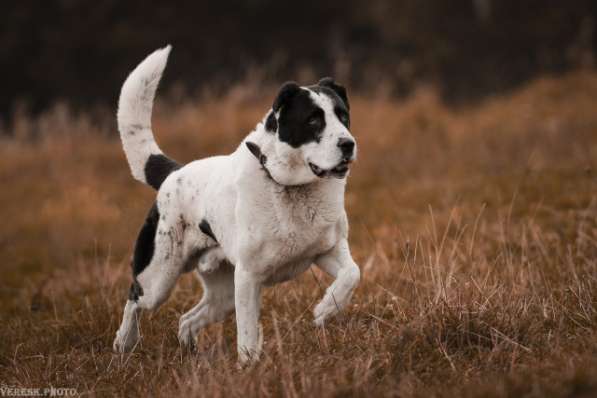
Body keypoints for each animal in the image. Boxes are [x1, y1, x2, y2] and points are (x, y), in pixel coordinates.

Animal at [114, 46, 360, 364]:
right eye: (313, 121)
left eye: (343, 116)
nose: (348, 144)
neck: (291, 188)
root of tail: (173, 173)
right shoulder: (248, 277)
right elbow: (247, 332)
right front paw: (249, 366)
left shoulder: (327, 250)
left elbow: (352, 273)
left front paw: (326, 309)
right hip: (159, 278)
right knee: (134, 298)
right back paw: (124, 343)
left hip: (222, 294)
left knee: (187, 320)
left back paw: (191, 356)